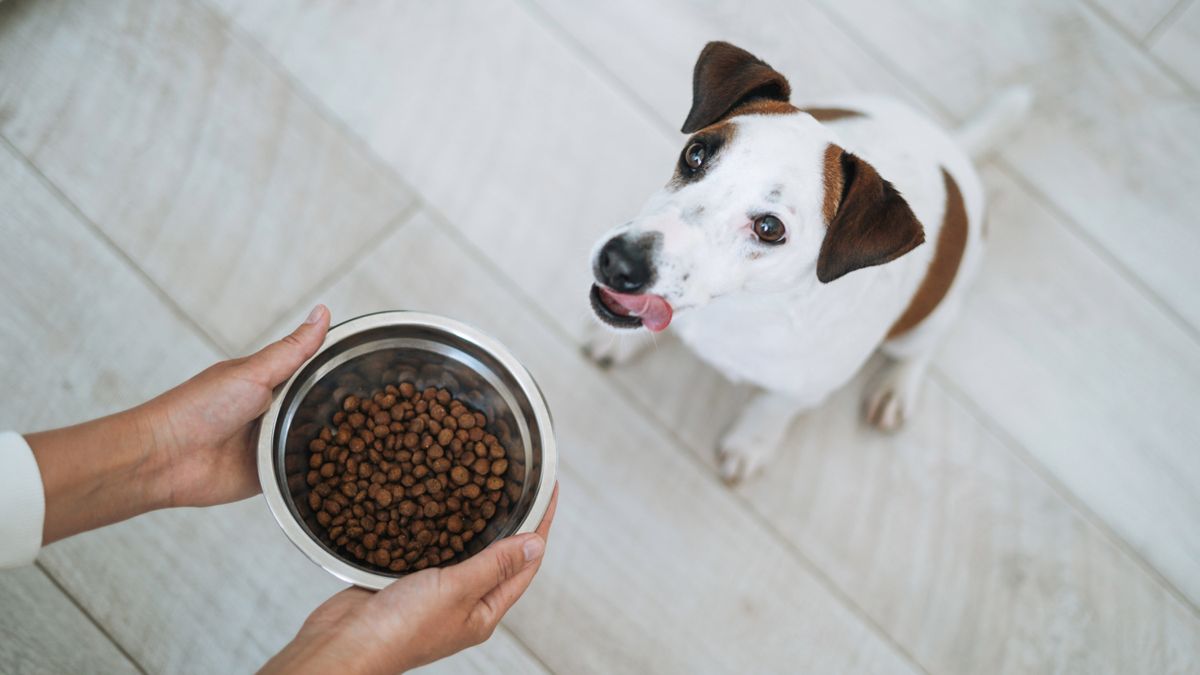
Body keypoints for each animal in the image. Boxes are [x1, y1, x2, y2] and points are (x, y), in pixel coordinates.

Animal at [583, 39, 1032, 480]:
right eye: (695, 154)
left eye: (769, 227)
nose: (618, 263)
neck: (745, 305)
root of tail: (953, 149)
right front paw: (620, 341)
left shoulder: (805, 389)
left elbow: (776, 407)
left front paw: (752, 441)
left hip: (923, 322)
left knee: (925, 345)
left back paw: (896, 386)